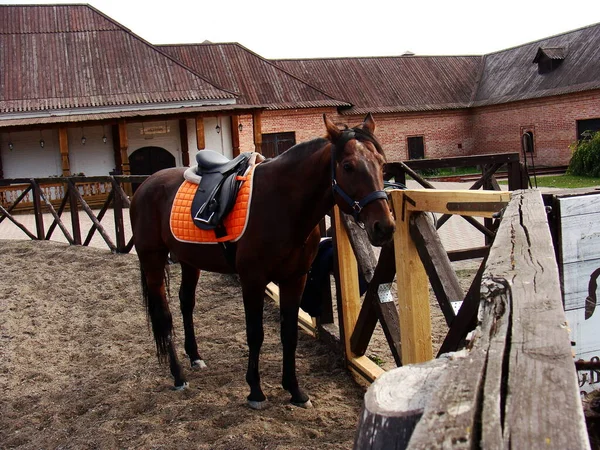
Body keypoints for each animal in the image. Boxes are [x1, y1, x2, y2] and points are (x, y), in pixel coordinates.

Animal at [129, 114, 396, 410]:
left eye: (382, 164)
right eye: (348, 166)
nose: (383, 227)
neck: (282, 204)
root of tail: (145, 185)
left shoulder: (295, 279)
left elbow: (288, 333)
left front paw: (295, 390)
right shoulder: (252, 281)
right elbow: (255, 334)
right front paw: (255, 391)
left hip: (189, 261)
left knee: (186, 303)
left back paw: (195, 357)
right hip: (152, 260)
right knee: (163, 314)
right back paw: (178, 375)